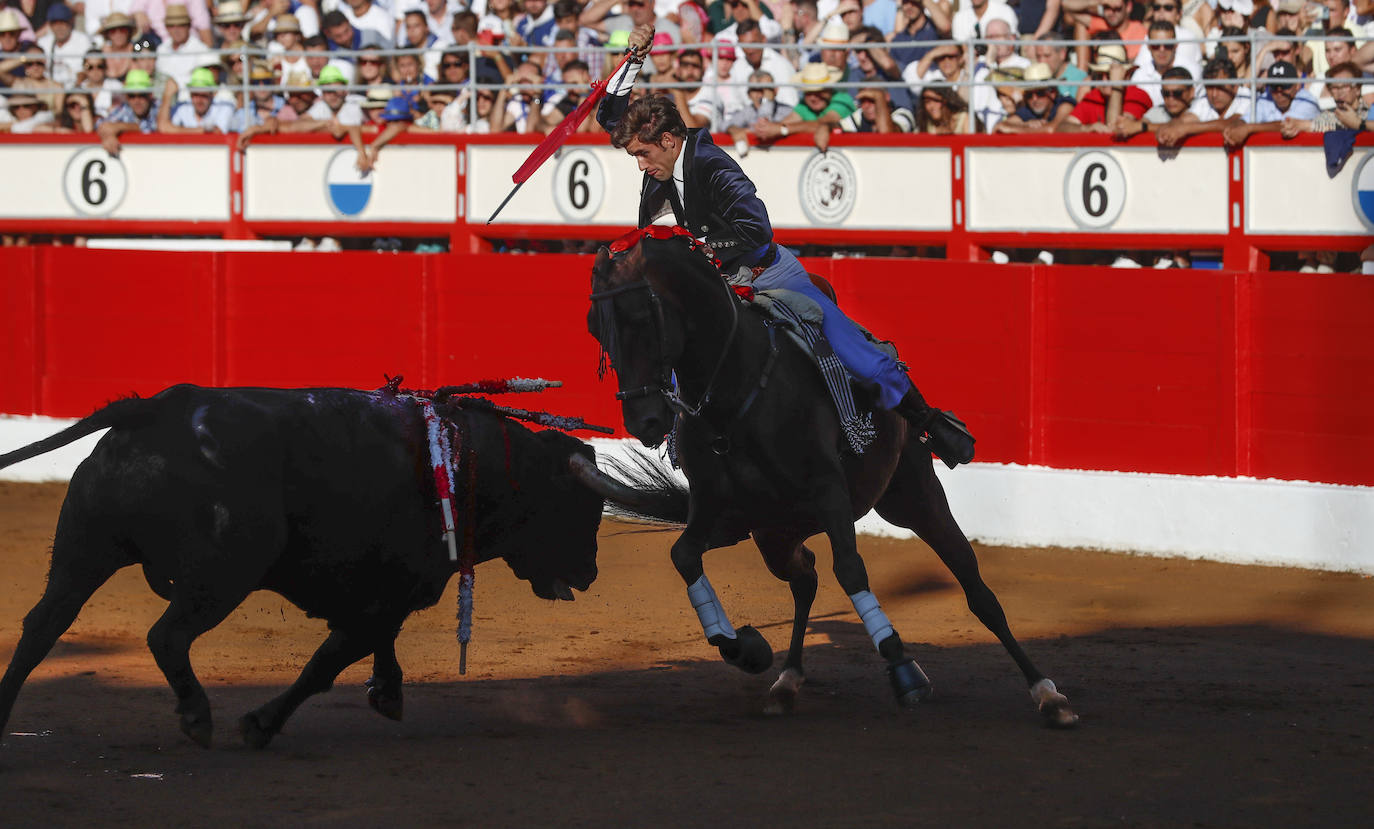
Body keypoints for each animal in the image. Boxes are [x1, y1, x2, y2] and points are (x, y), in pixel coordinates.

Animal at [0, 384, 667, 747]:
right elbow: (329, 663)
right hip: (224, 574)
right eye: (579, 507)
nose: (590, 572)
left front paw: (388, 693)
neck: (473, 464)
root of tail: (156, 409)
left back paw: (5, 718)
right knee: (167, 635)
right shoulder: (389, 593)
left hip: (85, 550)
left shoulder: (384, 592)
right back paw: (198, 717)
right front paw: (260, 725)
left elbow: (372, 648)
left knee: (41, 628)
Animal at [585, 226, 1077, 725]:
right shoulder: (712, 508)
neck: (735, 392)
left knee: (973, 584)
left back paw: (1047, 693)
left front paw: (903, 668)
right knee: (805, 578)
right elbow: (684, 555)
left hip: (912, 495)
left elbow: (852, 570)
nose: (644, 421)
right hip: (773, 532)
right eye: (594, 327)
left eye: (640, 317)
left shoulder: (830, 493)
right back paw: (786, 679)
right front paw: (746, 648)